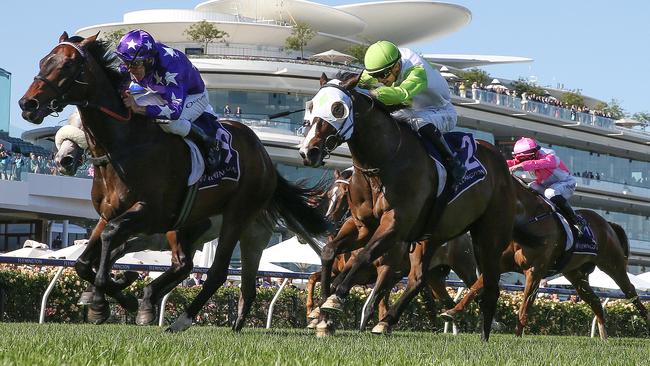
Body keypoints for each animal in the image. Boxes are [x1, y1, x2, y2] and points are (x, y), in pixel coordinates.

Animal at [20, 33, 330, 332]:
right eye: (43, 61)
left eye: (67, 65)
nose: (28, 104)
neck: (126, 145)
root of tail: (266, 159)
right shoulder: (109, 213)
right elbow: (84, 261)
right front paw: (122, 292)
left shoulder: (151, 212)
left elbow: (110, 237)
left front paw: (101, 302)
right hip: (194, 225)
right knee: (187, 265)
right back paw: (152, 299)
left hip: (236, 216)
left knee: (216, 272)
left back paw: (182, 318)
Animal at [296, 73, 512, 342]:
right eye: (311, 106)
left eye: (337, 109)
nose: (308, 151)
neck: (382, 163)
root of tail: (499, 156)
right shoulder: (362, 225)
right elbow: (329, 252)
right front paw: (322, 315)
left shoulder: (395, 225)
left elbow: (365, 257)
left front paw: (335, 298)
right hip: (430, 238)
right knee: (418, 280)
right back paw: (389, 322)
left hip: (484, 238)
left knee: (486, 282)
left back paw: (485, 329)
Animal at [438, 177, 644, 340]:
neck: (528, 220)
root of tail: (608, 224)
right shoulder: (501, 264)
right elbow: (473, 288)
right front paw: (451, 312)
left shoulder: (535, 271)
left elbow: (524, 306)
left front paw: (517, 338)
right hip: (576, 275)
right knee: (595, 302)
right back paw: (603, 338)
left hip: (613, 264)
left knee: (631, 292)